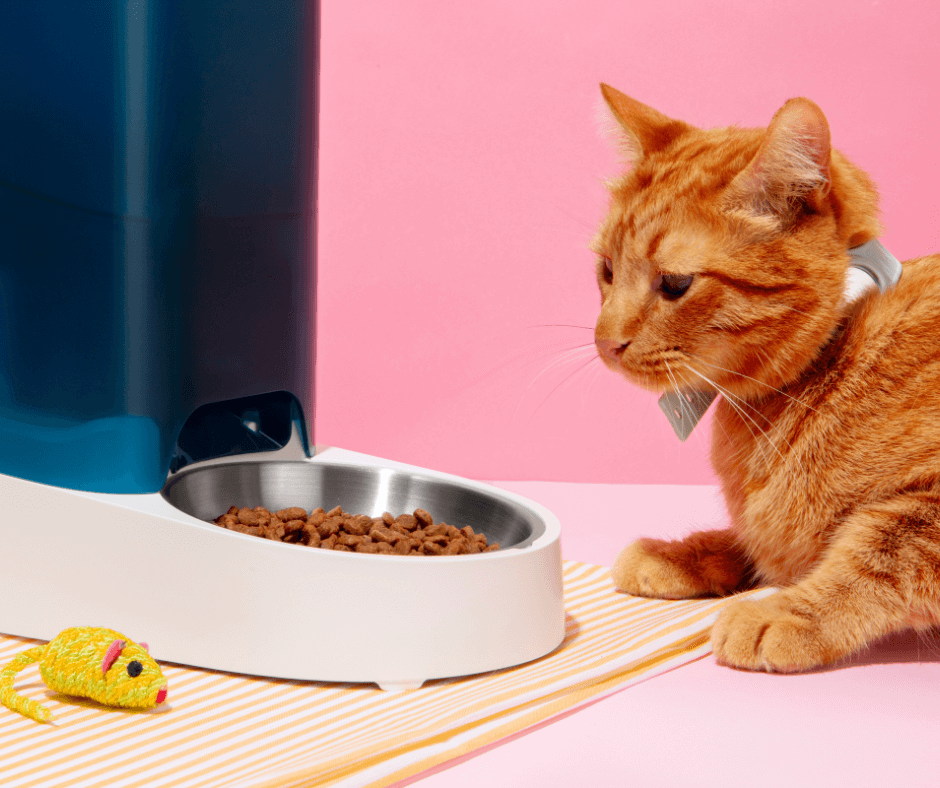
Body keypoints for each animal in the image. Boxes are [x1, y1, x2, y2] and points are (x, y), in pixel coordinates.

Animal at [596, 84, 940, 672]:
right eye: (607, 272)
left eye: (675, 283)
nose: (604, 341)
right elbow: (759, 539)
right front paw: (684, 554)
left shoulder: (929, 508)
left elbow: (883, 548)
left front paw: (790, 611)